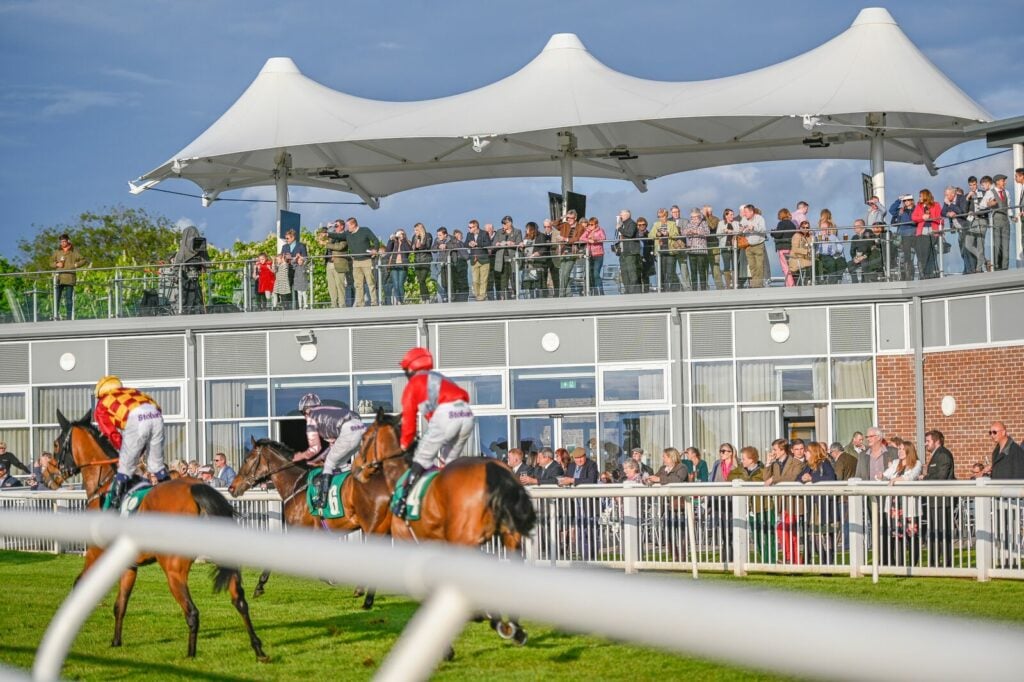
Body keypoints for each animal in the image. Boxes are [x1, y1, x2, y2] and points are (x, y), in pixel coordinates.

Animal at [44, 409, 268, 659]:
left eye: (55, 444)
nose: (48, 475)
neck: (105, 486)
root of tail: (196, 489)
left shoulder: (95, 553)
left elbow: (79, 585)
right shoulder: (128, 565)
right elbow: (120, 605)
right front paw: (116, 641)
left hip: (173, 567)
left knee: (192, 612)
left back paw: (190, 656)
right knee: (239, 600)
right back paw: (258, 648)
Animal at [354, 409, 536, 643]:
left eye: (364, 438)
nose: (357, 468)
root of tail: (497, 470)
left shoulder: (410, 542)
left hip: (466, 540)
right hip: (508, 535)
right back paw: (511, 624)